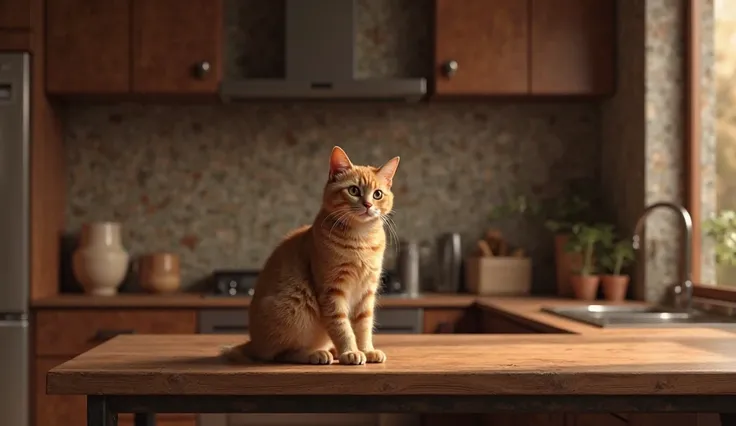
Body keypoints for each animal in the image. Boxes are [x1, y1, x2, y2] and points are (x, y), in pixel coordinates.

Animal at [221, 146, 400, 366]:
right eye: (354, 190)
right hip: (293, 309)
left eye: (377, 194)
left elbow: (363, 326)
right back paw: (317, 354)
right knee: (282, 354)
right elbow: (342, 327)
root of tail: (253, 343)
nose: (367, 205)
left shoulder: (367, 292)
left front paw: (367, 350)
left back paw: (331, 350)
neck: (361, 240)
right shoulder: (332, 292)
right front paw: (350, 352)